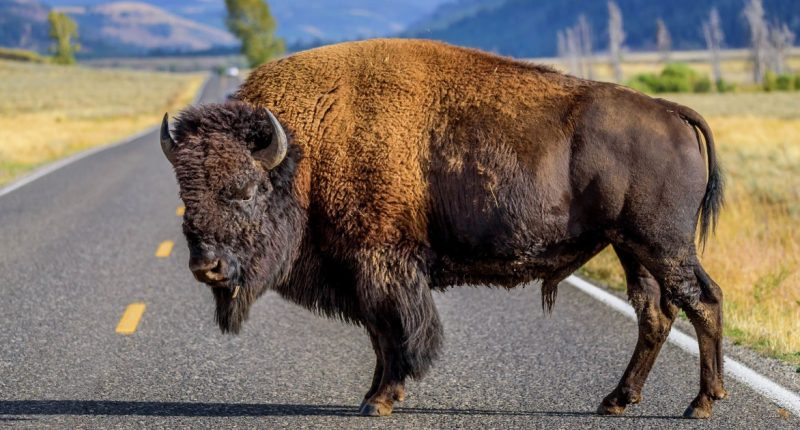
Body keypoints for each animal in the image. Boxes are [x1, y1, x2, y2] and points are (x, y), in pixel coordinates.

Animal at [160, 39, 725, 418]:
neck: (307, 147)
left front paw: (380, 400)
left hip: (662, 245)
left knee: (701, 301)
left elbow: (397, 332)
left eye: (244, 189)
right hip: (632, 249)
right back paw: (617, 400)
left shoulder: (381, 263)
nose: (206, 266)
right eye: (186, 194)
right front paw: (374, 395)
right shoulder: (364, 271)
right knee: (656, 313)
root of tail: (669, 111)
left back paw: (701, 403)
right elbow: (381, 335)